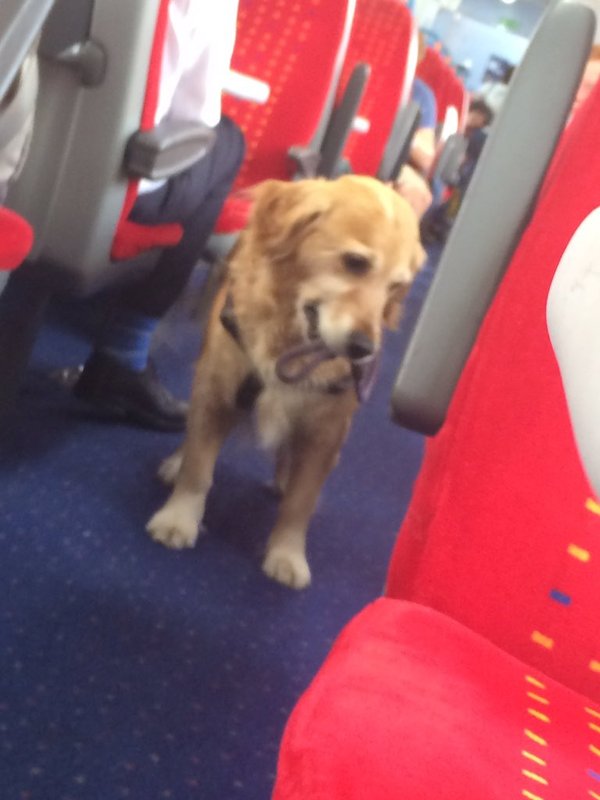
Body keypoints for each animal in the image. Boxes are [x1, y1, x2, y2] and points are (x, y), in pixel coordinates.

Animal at [146, 175, 426, 588]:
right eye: (355, 262)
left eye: (395, 287)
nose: (363, 349)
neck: (290, 342)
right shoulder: (218, 391)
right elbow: (199, 466)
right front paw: (179, 518)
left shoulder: (325, 434)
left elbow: (300, 503)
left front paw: (287, 554)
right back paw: (175, 463)